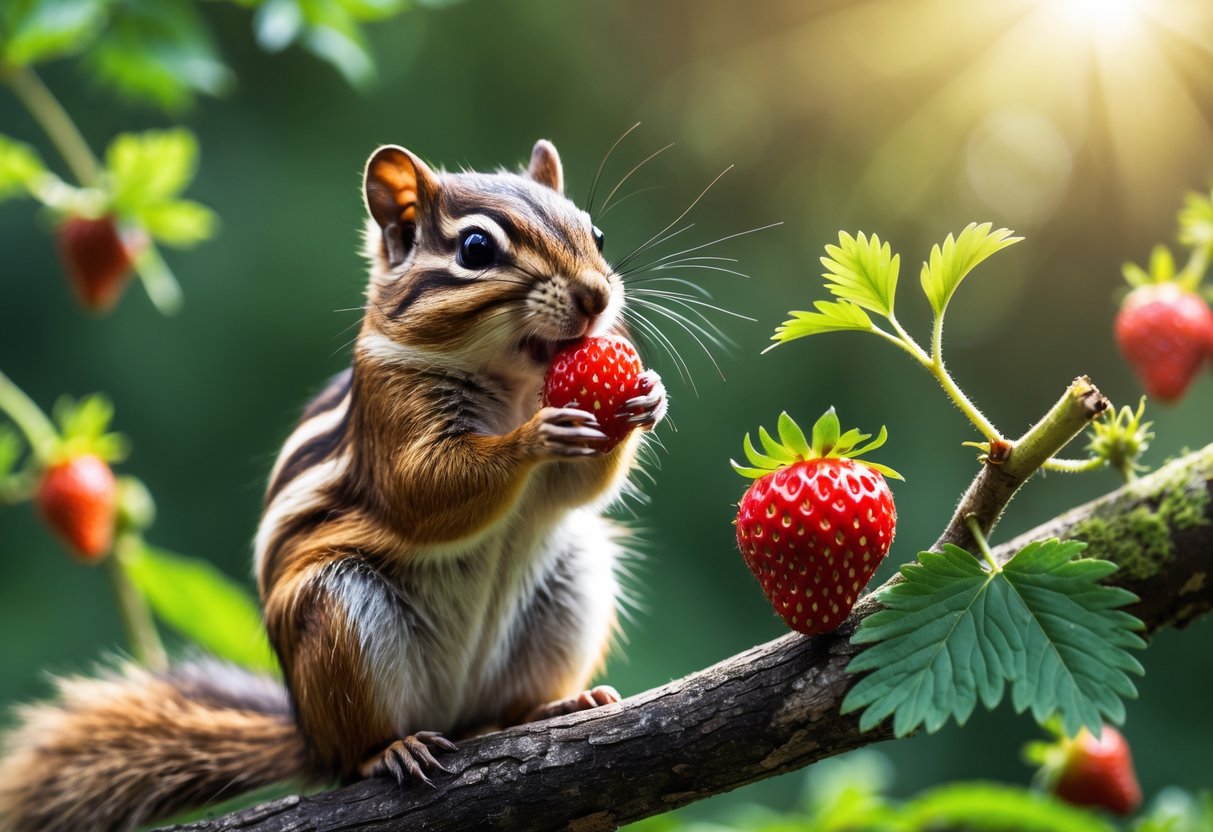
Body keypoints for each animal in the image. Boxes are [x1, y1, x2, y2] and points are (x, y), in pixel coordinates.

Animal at [0, 139, 667, 832]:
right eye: (476, 249)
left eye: (594, 232)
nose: (596, 296)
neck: (513, 385)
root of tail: (311, 736)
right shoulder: (391, 417)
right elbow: (426, 491)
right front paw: (533, 437)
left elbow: (576, 491)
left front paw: (647, 397)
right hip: (340, 615)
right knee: (356, 752)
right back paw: (393, 750)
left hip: (572, 582)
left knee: (500, 712)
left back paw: (554, 706)